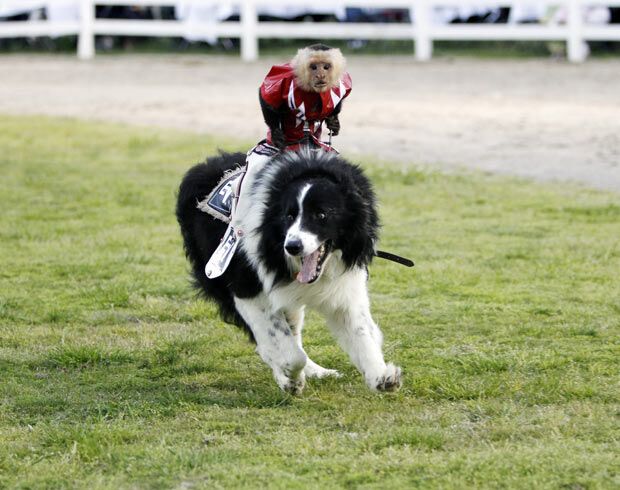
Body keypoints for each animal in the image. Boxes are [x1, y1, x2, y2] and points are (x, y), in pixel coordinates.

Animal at [174, 150, 402, 394]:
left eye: (322, 215)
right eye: (288, 216)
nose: (292, 246)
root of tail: (203, 166)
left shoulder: (345, 286)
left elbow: (361, 332)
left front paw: (382, 377)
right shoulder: (248, 289)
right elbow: (288, 350)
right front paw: (290, 379)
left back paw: (317, 371)